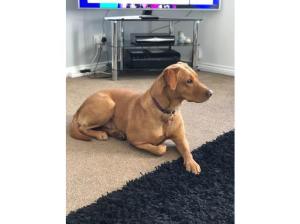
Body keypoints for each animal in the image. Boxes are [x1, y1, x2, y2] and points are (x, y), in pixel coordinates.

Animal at [70, 61, 212, 175]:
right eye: (189, 81)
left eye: (197, 77)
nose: (211, 93)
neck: (166, 111)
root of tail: (80, 107)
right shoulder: (135, 140)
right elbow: (159, 149)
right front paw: (162, 147)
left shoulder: (181, 138)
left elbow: (187, 150)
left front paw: (192, 163)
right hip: (108, 105)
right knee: (83, 127)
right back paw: (100, 134)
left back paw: (116, 133)